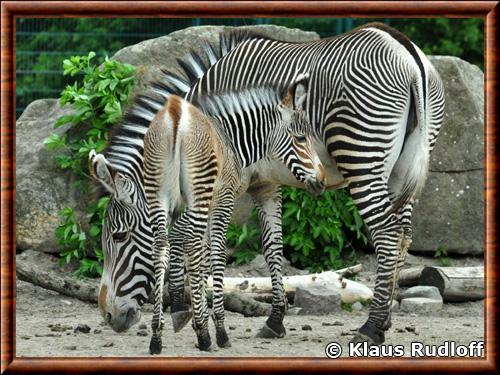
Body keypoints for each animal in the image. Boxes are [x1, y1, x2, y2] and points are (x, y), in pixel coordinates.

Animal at [153, 22, 446, 344]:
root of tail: (407, 52)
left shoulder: (231, 181)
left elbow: (195, 239)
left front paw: (184, 310)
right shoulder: (263, 183)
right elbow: (272, 245)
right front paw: (274, 319)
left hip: (361, 154)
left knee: (387, 232)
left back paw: (370, 327)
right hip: (403, 169)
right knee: (403, 235)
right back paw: (385, 321)